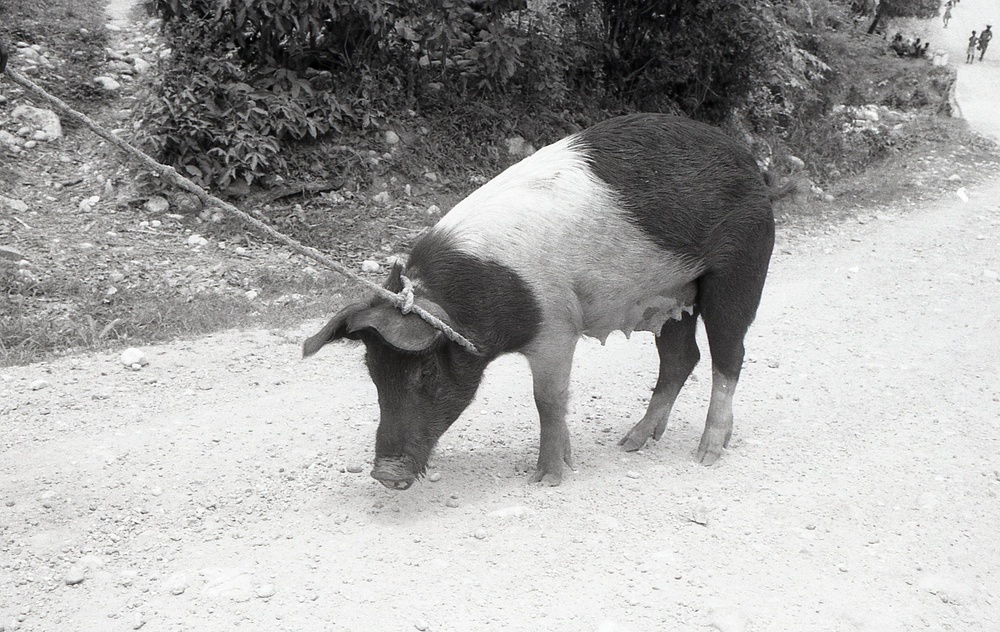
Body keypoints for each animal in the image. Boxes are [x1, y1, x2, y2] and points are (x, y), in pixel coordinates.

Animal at [300, 112, 784, 488]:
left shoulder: (556, 324)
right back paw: (631, 443)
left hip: (739, 269)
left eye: (425, 371)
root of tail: (751, 165)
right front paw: (568, 461)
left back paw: (707, 454)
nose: (384, 474)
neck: (477, 296)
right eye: (373, 372)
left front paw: (548, 478)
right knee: (682, 358)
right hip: (672, 297)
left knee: (729, 355)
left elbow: (547, 398)